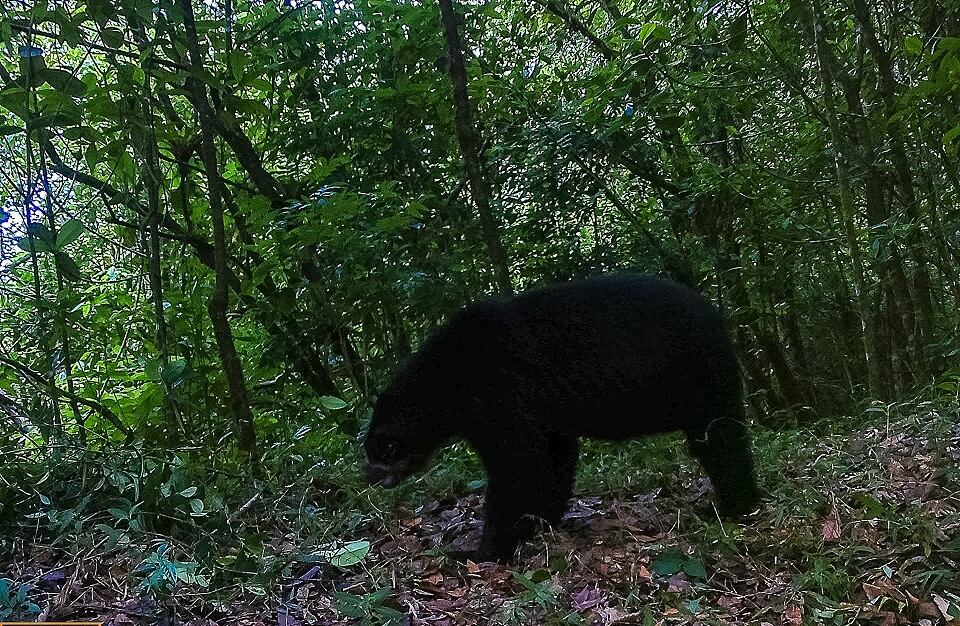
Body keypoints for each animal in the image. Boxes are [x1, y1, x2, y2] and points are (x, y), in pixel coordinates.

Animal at [364, 273, 760, 561]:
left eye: (385, 445)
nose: (369, 476)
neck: (448, 380)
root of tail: (719, 318)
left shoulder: (499, 395)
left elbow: (518, 464)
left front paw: (483, 551)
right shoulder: (542, 412)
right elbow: (554, 456)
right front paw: (540, 524)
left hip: (702, 375)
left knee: (721, 439)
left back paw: (735, 507)